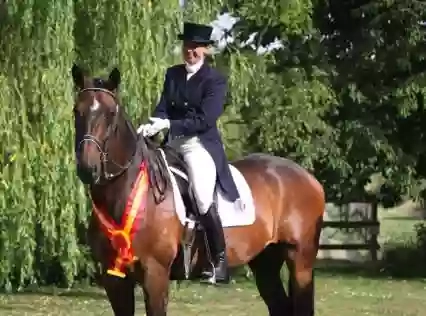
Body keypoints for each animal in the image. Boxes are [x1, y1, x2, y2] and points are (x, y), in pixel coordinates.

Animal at [71, 64, 326, 316]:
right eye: (76, 111)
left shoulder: (155, 275)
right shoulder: (114, 281)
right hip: (265, 261)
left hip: (300, 260)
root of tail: (308, 177)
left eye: (111, 114)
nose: (88, 168)